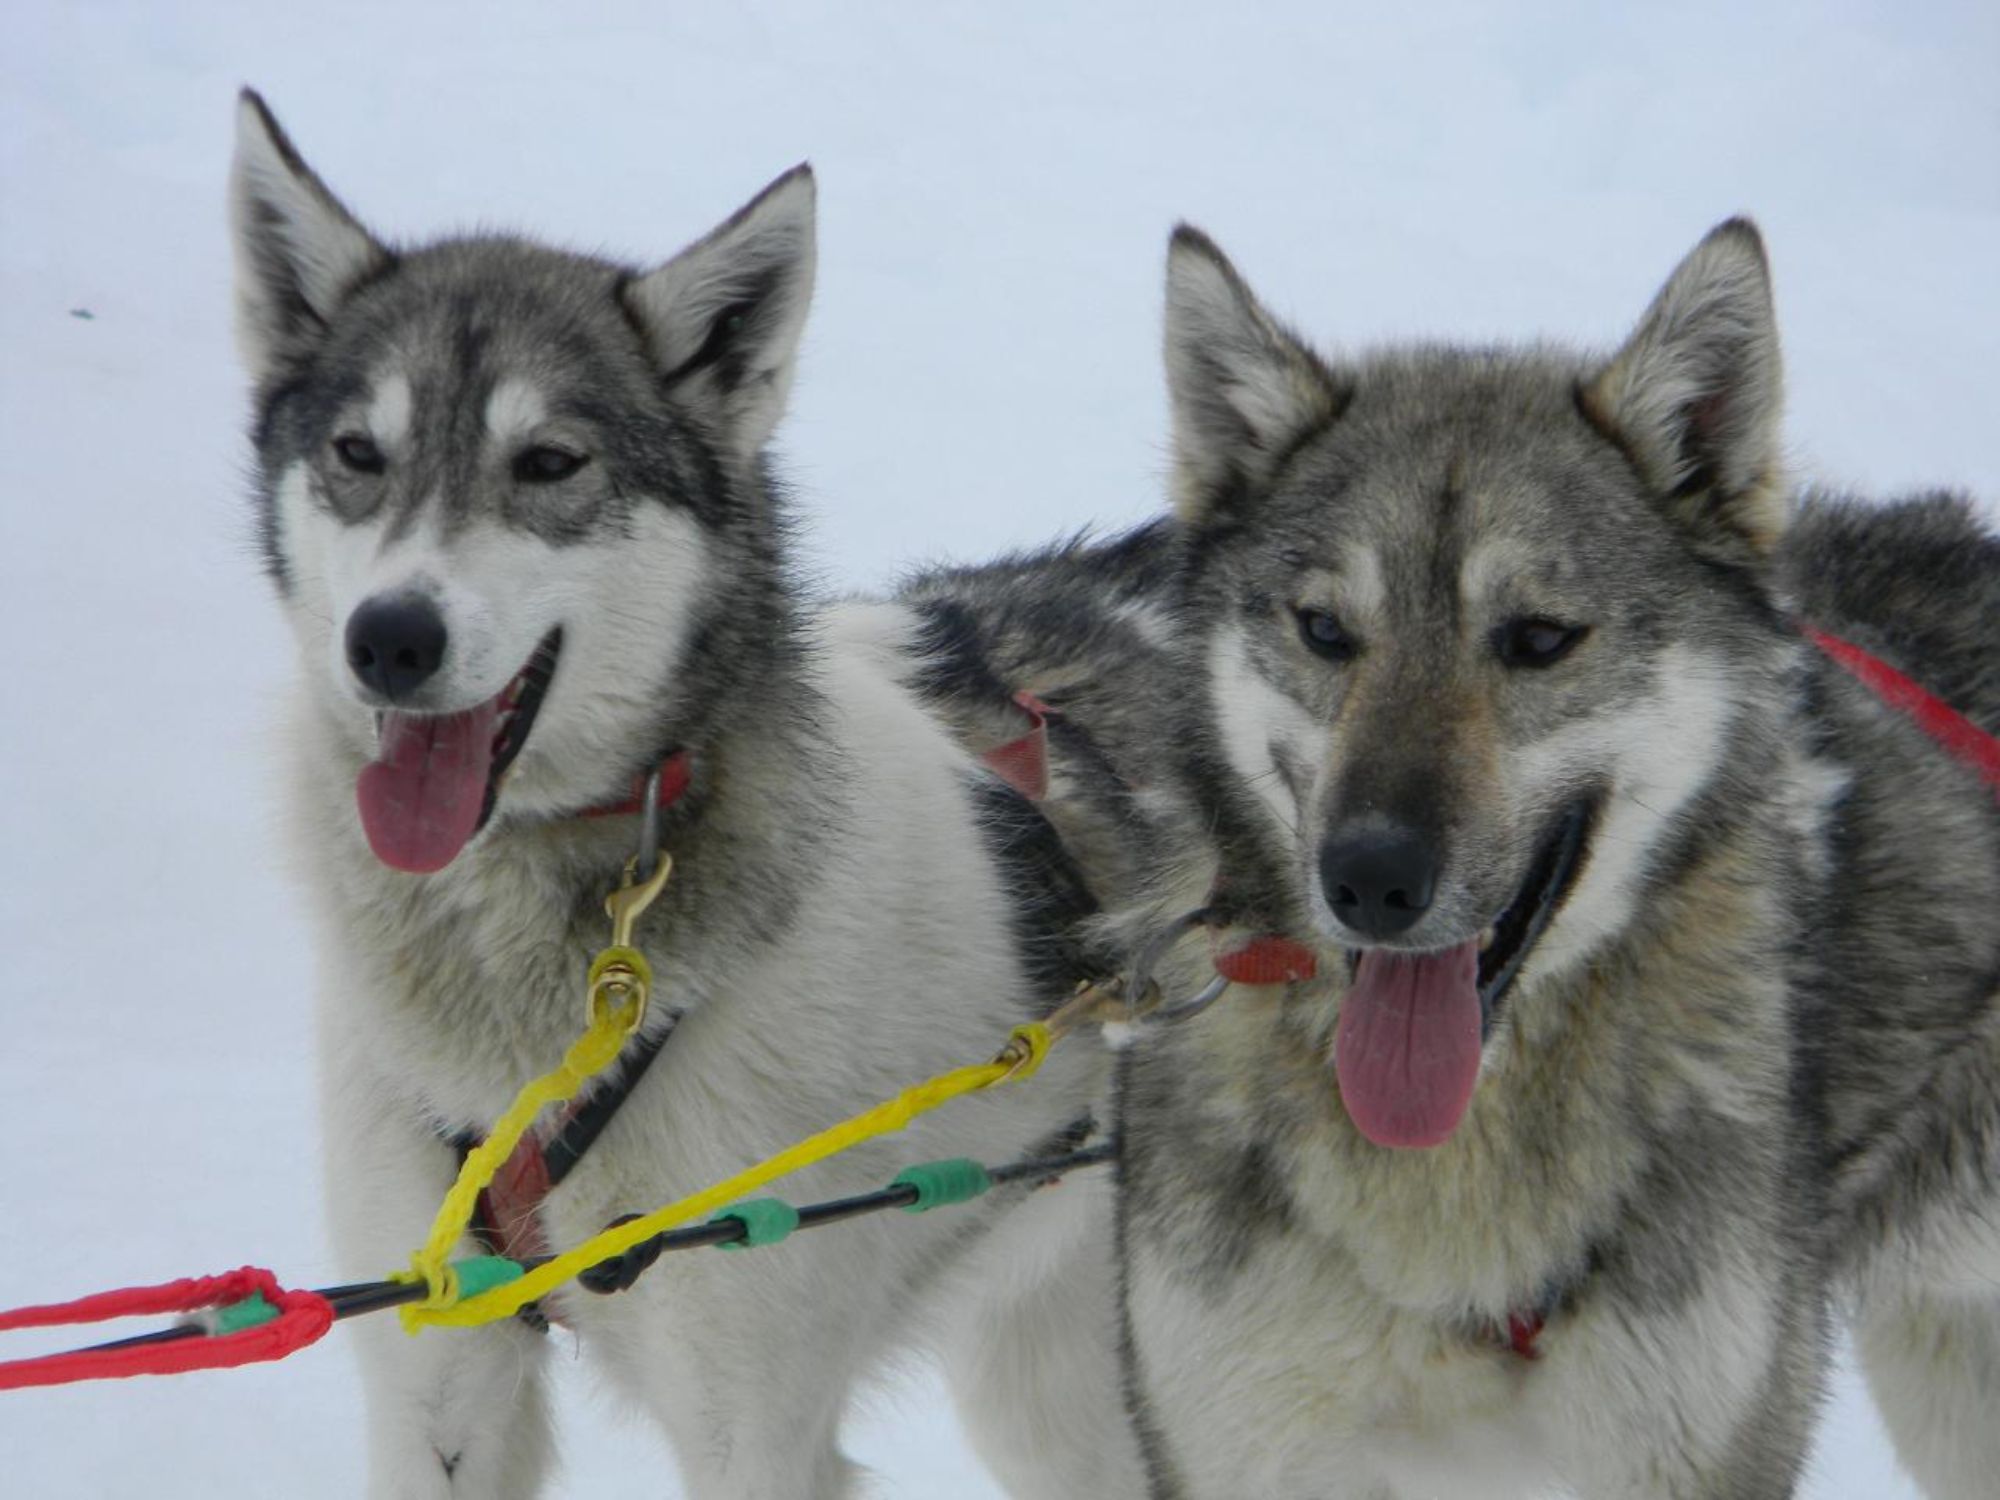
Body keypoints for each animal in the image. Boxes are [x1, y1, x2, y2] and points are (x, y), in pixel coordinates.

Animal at [225, 94, 1152, 1500]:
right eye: (356, 454)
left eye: (550, 461)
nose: (387, 637)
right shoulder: (437, 1381)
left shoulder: (748, 1419)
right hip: (1053, 1400)